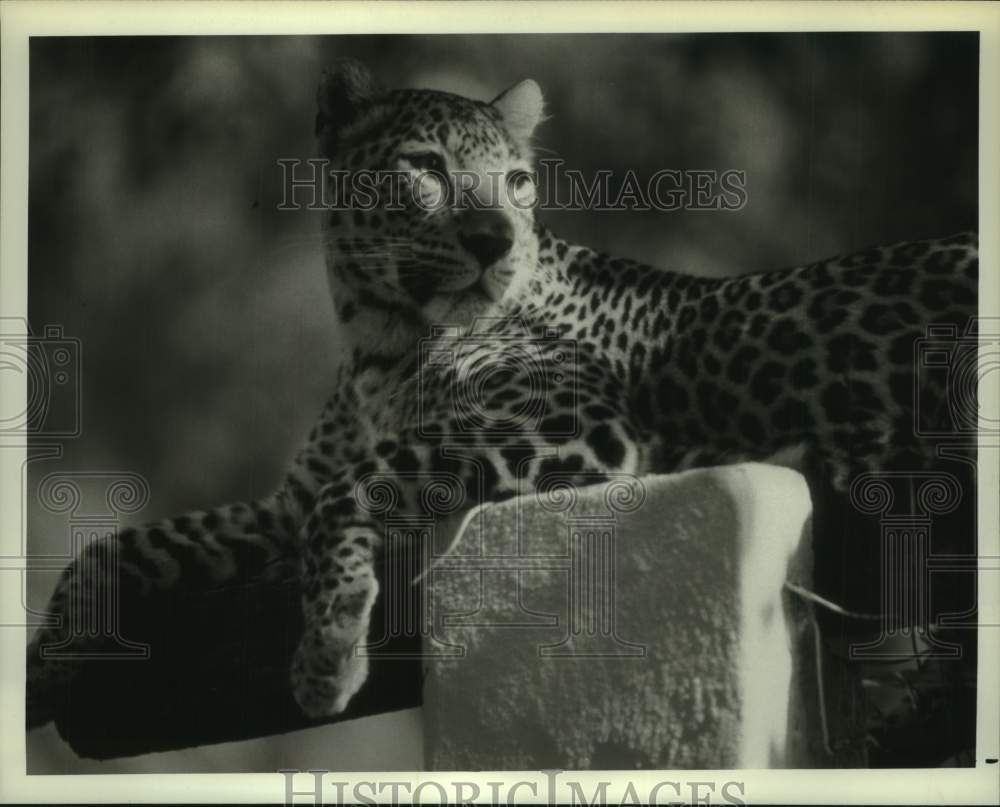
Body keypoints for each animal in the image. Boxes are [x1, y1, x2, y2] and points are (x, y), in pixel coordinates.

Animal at [27, 60, 978, 725]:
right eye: (425, 168)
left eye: (517, 182)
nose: (494, 238)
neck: (377, 340)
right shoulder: (279, 507)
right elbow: (118, 544)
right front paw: (43, 667)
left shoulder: (570, 419)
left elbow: (353, 489)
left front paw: (327, 652)